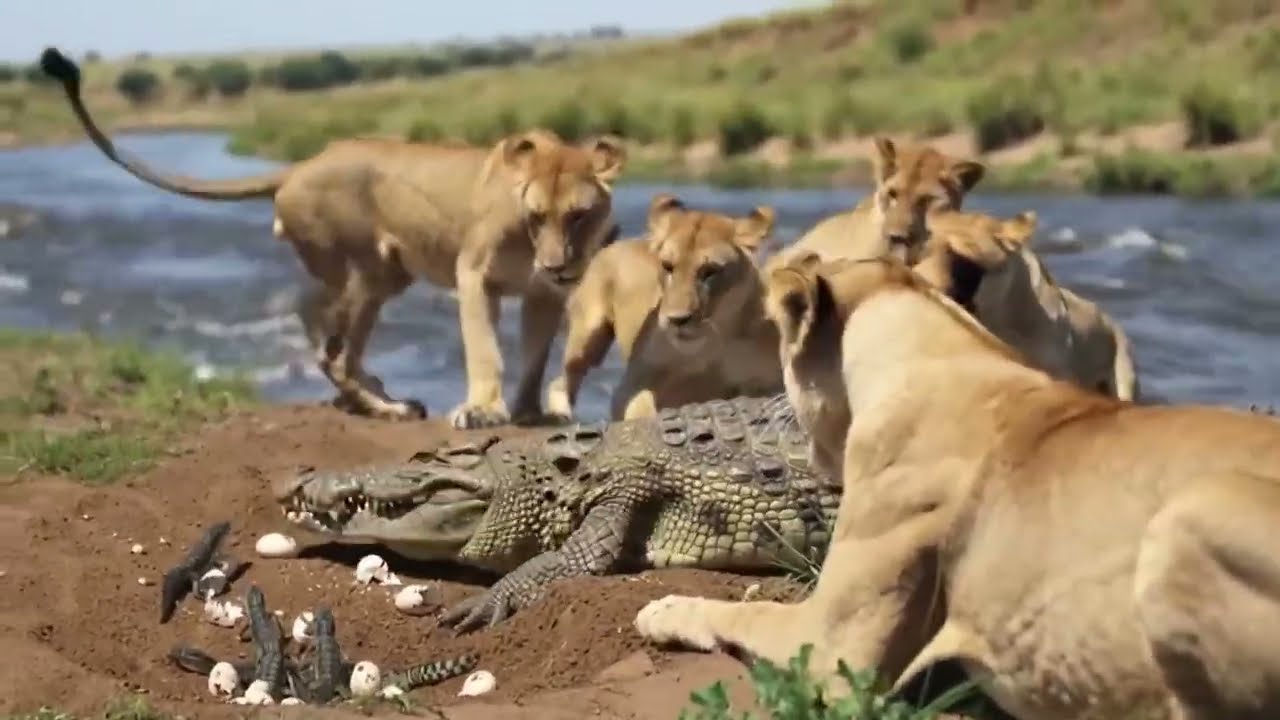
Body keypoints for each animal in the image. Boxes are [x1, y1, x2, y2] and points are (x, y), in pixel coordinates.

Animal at [38, 47, 627, 428]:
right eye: (536, 215)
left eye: (578, 216)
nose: (557, 264)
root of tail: (301, 164)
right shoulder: (474, 272)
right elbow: (485, 349)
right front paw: (483, 409)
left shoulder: (543, 294)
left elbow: (534, 356)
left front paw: (532, 412)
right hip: (366, 270)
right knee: (332, 349)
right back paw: (386, 405)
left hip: (381, 274)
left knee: (320, 325)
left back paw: (375, 392)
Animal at [544, 193, 779, 421]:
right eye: (668, 266)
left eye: (710, 271)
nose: (678, 320)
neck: (712, 341)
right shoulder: (631, 384)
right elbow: (642, 404)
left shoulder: (764, 382)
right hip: (588, 336)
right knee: (562, 379)